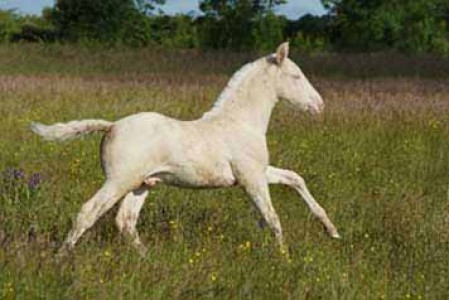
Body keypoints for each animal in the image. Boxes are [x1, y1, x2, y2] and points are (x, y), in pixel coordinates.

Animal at [31, 43, 340, 256]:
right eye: (296, 76)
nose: (320, 105)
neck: (241, 122)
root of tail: (111, 126)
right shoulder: (251, 178)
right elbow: (272, 217)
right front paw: (285, 258)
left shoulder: (260, 172)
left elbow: (295, 179)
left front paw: (332, 231)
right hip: (119, 181)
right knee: (89, 212)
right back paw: (60, 258)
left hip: (140, 184)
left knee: (126, 221)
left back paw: (148, 260)